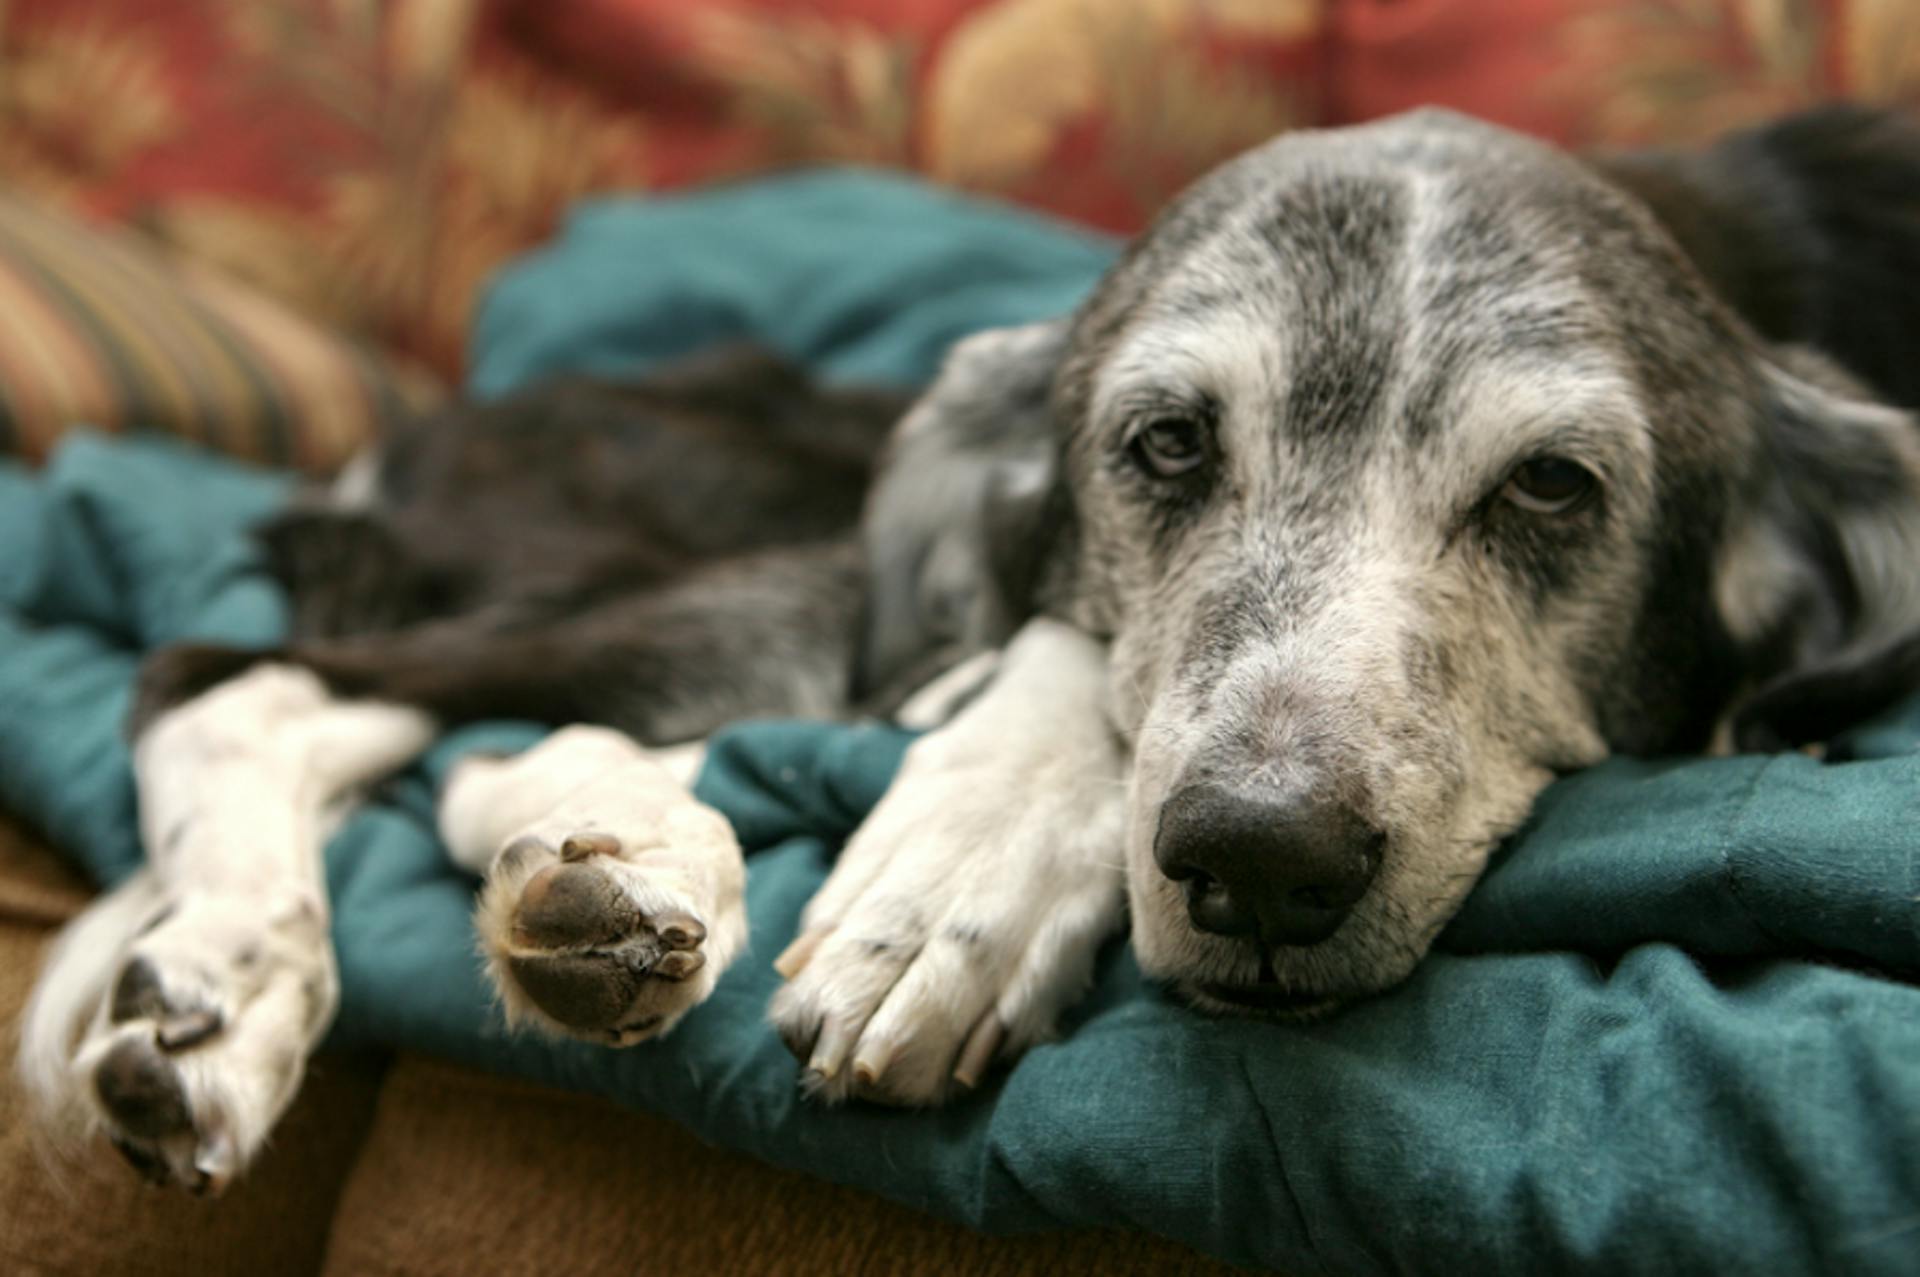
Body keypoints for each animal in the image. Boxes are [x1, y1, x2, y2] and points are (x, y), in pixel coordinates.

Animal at [15, 104, 1920, 1190]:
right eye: (1165, 445)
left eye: (1550, 487)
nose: (1262, 860)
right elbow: (1064, 658)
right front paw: (957, 882)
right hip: (777, 577)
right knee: (236, 682)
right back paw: (257, 969)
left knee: (459, 745)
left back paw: (596, 882)